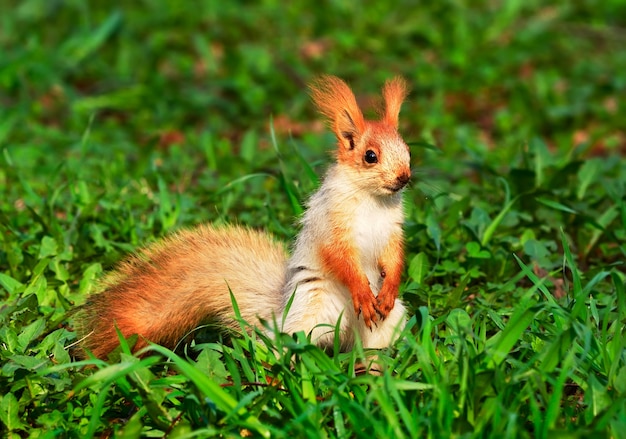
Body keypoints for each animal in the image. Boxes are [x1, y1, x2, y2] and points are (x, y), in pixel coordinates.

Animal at [79, 75, 410, 360]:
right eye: (370, 156)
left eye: (408, 150)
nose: (404, 178)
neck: (372, 200)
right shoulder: (332, 224)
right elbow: (341, 259)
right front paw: (362, 293)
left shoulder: (392, 230)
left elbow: (393, 258)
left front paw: (387, 290)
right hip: (310, 317)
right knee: (284, 348)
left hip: (389, 323)